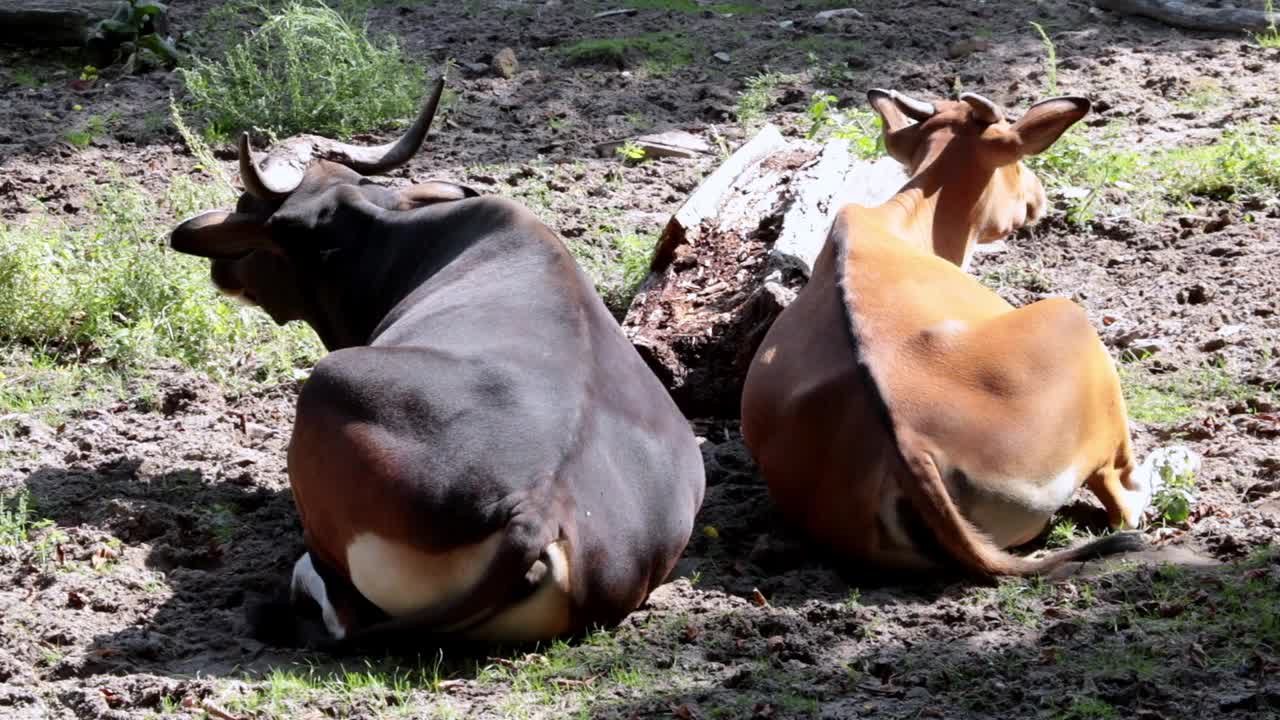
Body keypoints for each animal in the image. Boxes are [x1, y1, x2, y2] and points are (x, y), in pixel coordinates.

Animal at [742, 89, 1152, 573]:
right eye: (1017, 162)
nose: (1038, 199)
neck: (898, 226)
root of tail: (910, 444)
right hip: (1073, 326)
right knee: (1122, 500)